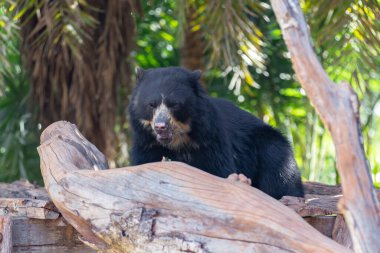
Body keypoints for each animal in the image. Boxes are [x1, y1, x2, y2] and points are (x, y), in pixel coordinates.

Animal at [129, 66, 304, 200]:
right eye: (151, 105)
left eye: (174, 105)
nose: (160, 126)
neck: (179, 140)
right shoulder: (146, 143)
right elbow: (143, 163)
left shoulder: (211, 140)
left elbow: (219, 170)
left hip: (272, 145)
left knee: (280, 171)